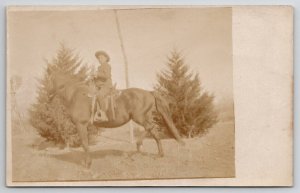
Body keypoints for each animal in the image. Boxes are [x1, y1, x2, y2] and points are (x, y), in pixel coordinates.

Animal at [49, 70, 184, 167]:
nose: (48, 96)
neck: (75, 95)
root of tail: (149, 92)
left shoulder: (80, 125)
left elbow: (84, 144)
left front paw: (87, 165)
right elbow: (85, 144)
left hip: (139, 117)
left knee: (150, 128)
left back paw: (138, 146)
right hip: (144, 117)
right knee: (154, 132)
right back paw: (159, 154)